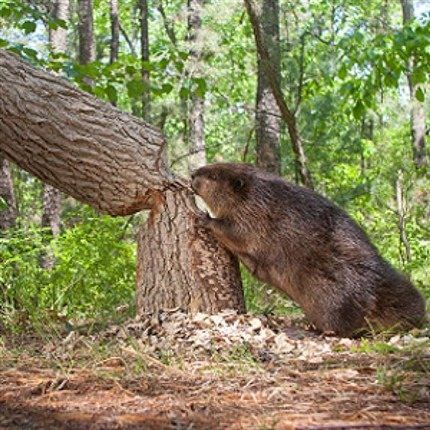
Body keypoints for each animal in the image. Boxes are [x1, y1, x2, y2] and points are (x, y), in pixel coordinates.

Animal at [191, 162, 426, 336]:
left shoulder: (256, 216)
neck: (256, 193)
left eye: (213, 175)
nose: (193, 173)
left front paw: (204, 217)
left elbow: (236, 232)